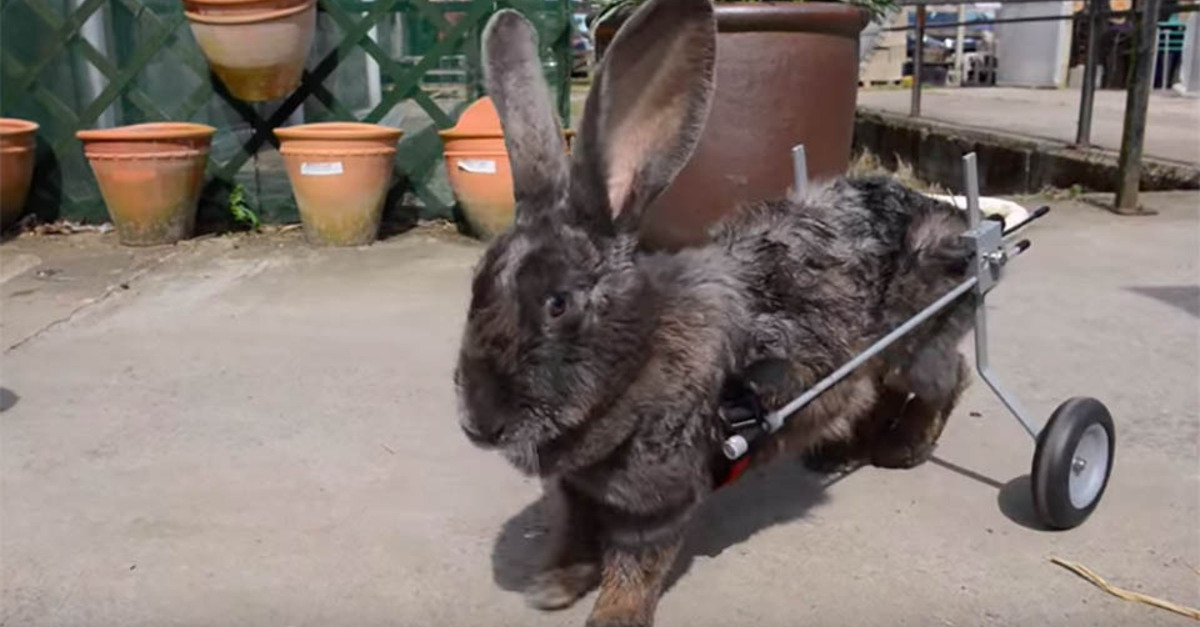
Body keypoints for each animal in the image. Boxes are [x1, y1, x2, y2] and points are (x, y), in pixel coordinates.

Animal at [456, 1, 974, 624]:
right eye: (477, 284)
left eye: (558, 304)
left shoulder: (659, 499)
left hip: (916, 343)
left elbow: (636, 563)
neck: (637, 364)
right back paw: (840, 454)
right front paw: (552, 587)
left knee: (948, 379)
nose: (479, 426)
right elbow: (573, 535)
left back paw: (903, 451)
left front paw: (612, 616)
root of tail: (954, 222)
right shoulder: (576, 493)